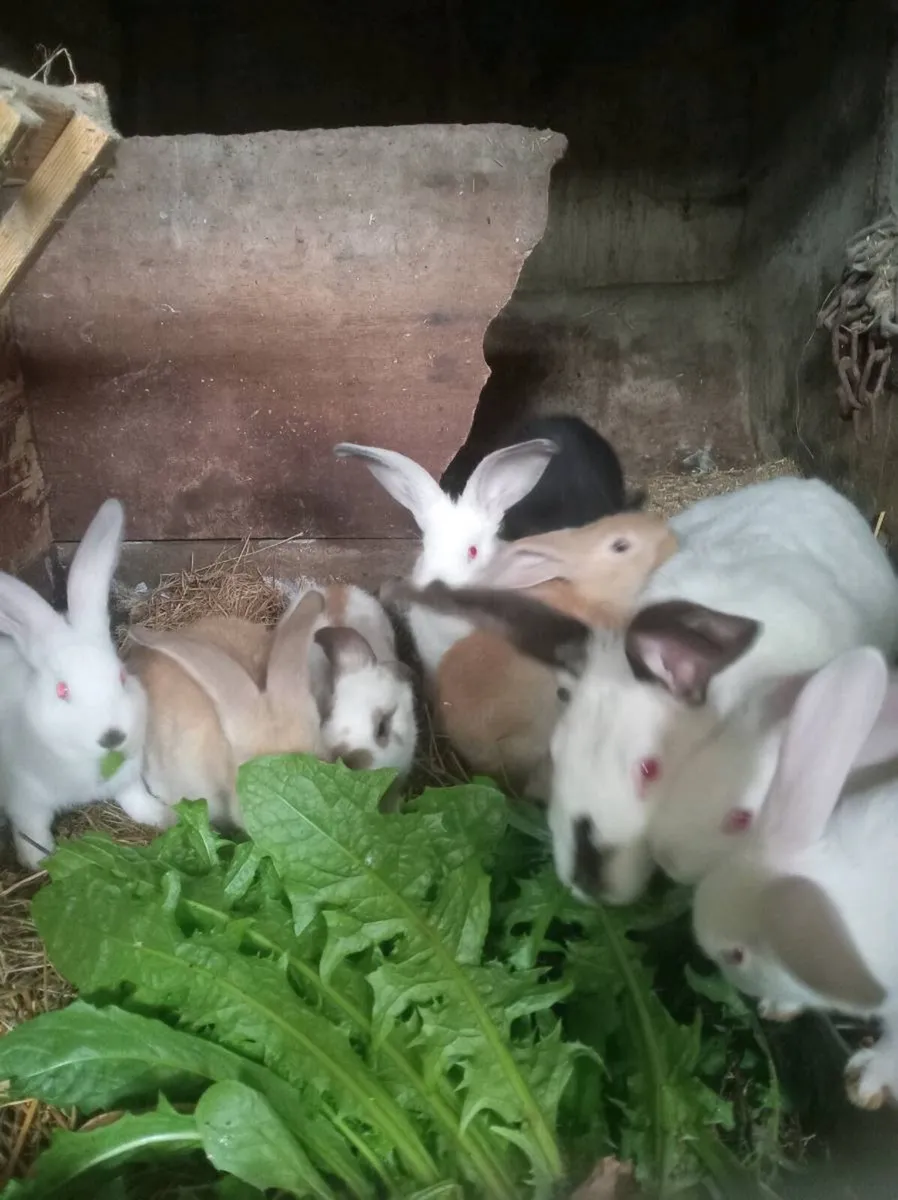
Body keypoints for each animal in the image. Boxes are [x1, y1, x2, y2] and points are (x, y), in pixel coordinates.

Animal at [0, 499, 148, 868]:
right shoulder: (24, 800)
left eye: (121, 676)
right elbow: (33, 836)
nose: (112, 736)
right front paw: (39, 865)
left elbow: (137, 799)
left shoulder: (127, 777)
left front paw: (164, 816)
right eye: (62, 690)